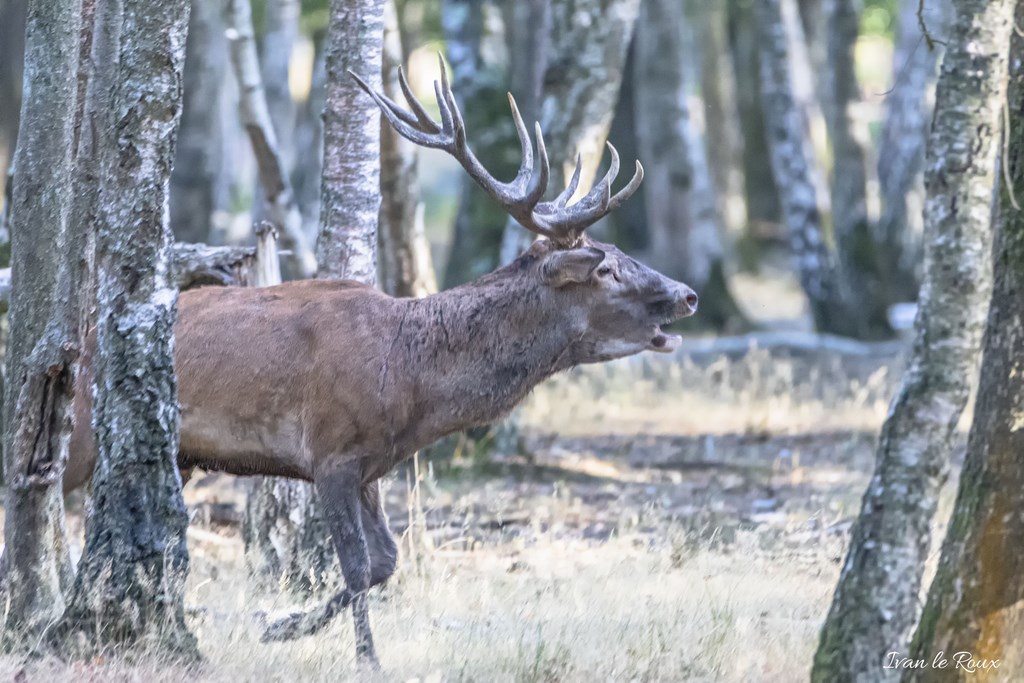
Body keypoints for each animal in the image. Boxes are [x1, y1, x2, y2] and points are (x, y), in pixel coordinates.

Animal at [64, 59, 698, 669]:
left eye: (622, 253)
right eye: (605, 269)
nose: (687, 294)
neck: (410, 384)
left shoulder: (371, 465)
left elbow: (385, 562)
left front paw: (284, 627)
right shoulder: (330, 452)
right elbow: (355, 565)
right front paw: (351, 652)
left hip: (181, 455)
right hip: (84, 436)